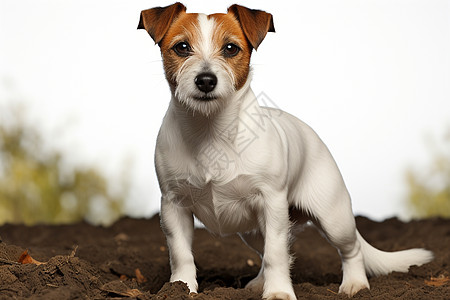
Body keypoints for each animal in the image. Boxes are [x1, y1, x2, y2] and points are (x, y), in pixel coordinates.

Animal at [137, 2, 432, 300]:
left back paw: (355, 284)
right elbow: (181, 254)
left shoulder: (272, 203)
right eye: (182, 47)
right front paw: (180, 287)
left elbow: (276, 254)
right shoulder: (173, 206)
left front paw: (279, 292)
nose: (206, 80)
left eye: (230, 48)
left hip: (334, 219)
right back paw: (258, 283)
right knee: (266, 251)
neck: (210, 130)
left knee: (350, 250)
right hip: (254, 230)